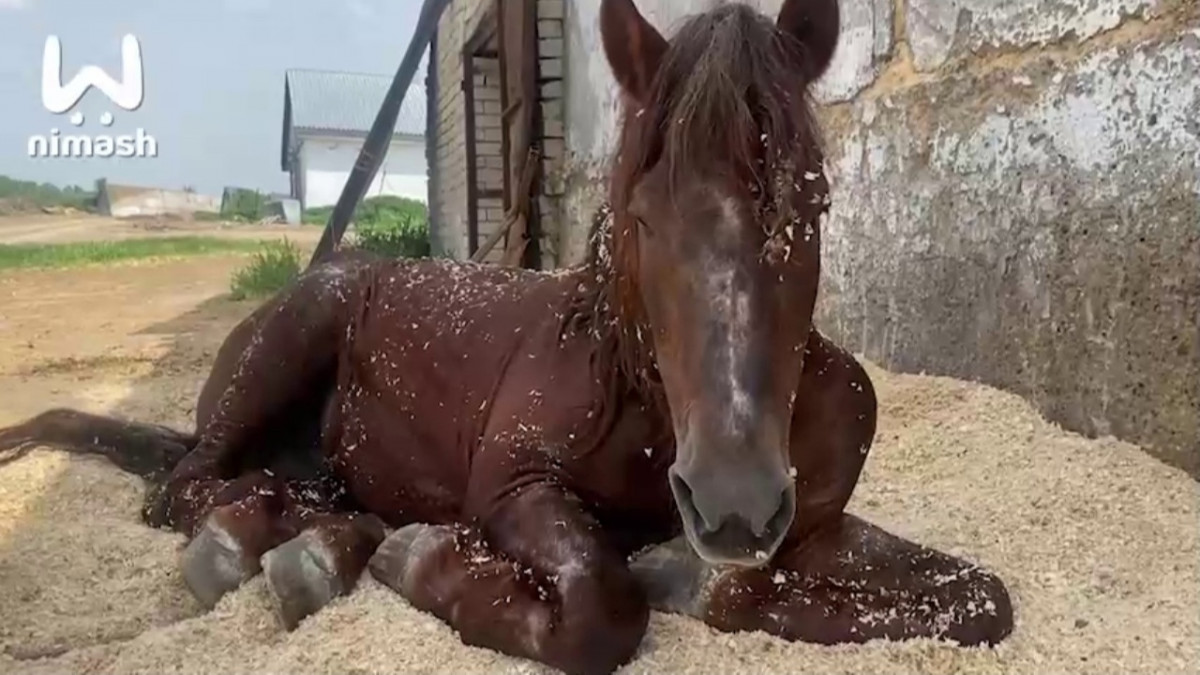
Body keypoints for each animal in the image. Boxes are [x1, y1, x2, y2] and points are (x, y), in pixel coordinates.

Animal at [0, 1, 1012, 672]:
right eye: (641, 217)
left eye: (814, 206)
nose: (732, 504)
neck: (644, 403)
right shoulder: (515, 483)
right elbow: (601, 606)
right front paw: (430, 562)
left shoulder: (816, 532)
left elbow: (977, 600)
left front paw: (686, 573)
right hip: (293, 340)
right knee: (186, 485)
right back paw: (284, 541)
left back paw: (329, 537)